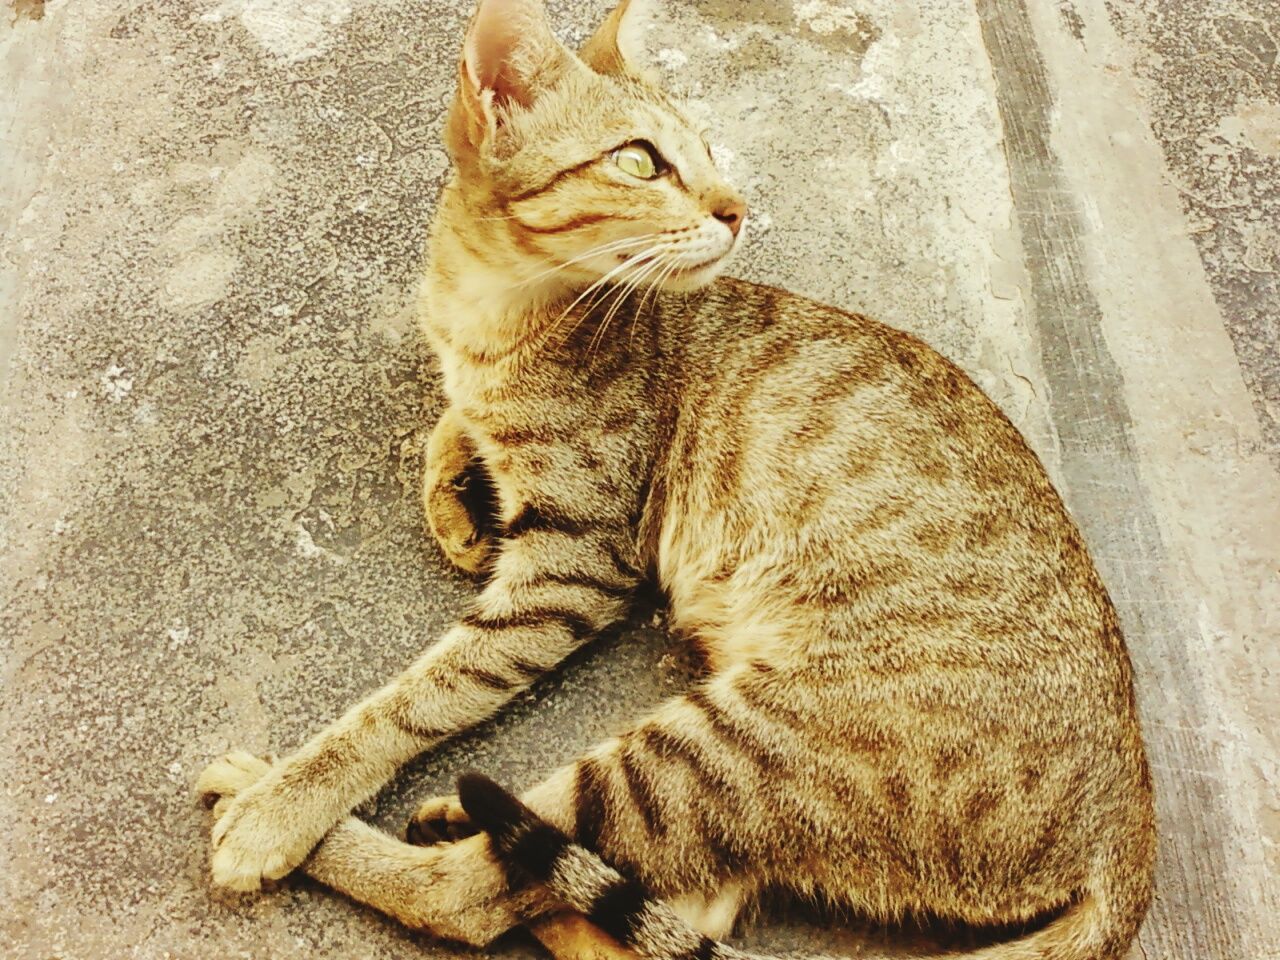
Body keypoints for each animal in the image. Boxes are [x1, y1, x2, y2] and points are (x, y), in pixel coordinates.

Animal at [199, 1, 1162, 960]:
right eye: (640, 160)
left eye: (704, 153)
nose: (737, 209)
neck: (490, 315)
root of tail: (1130, 832)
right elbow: (454, 417)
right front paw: (455, 495)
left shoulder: (573, 564)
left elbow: (421, 697)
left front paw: (287, 803)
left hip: (718, 751)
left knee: (472, 895)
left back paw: (317, 813)